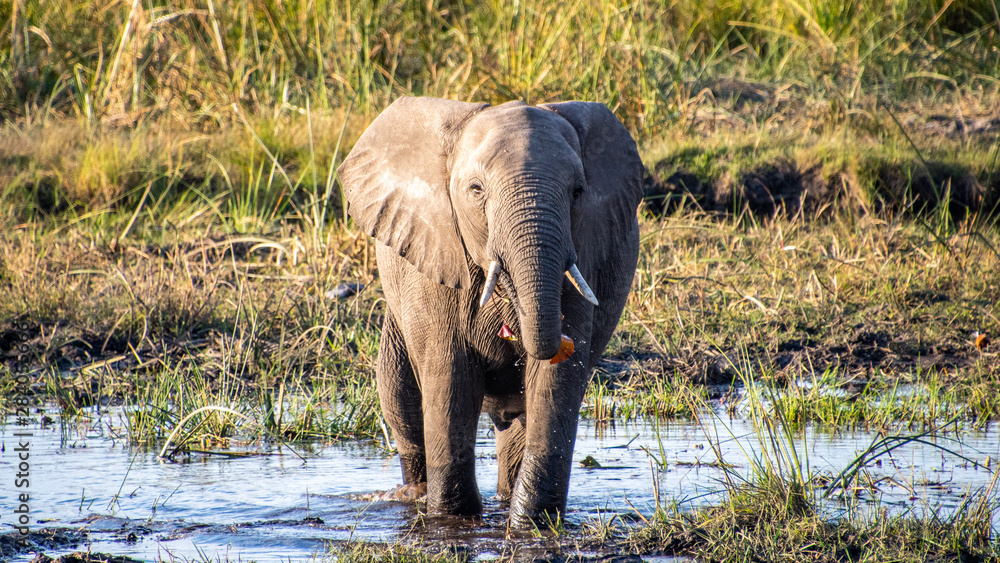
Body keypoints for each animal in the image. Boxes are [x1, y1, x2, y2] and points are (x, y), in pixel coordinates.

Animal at [337, 96, 643, 526]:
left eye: (578, 192)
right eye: (476, 190)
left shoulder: (588, 252)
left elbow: (555, 381)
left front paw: (532, 525)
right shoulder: (435, 260)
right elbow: (451, 374)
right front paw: (451, 522)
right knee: (399, 394)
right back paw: (415, 495)